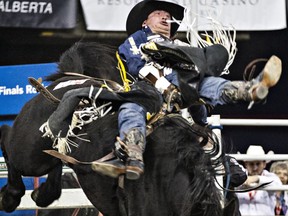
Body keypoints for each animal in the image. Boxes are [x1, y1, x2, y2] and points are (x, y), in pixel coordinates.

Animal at [0, 41, 230, 215]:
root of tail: (71, 77)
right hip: (27, 151)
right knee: (6, 135)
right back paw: (9, 197)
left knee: (57, 158)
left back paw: (42, 193)